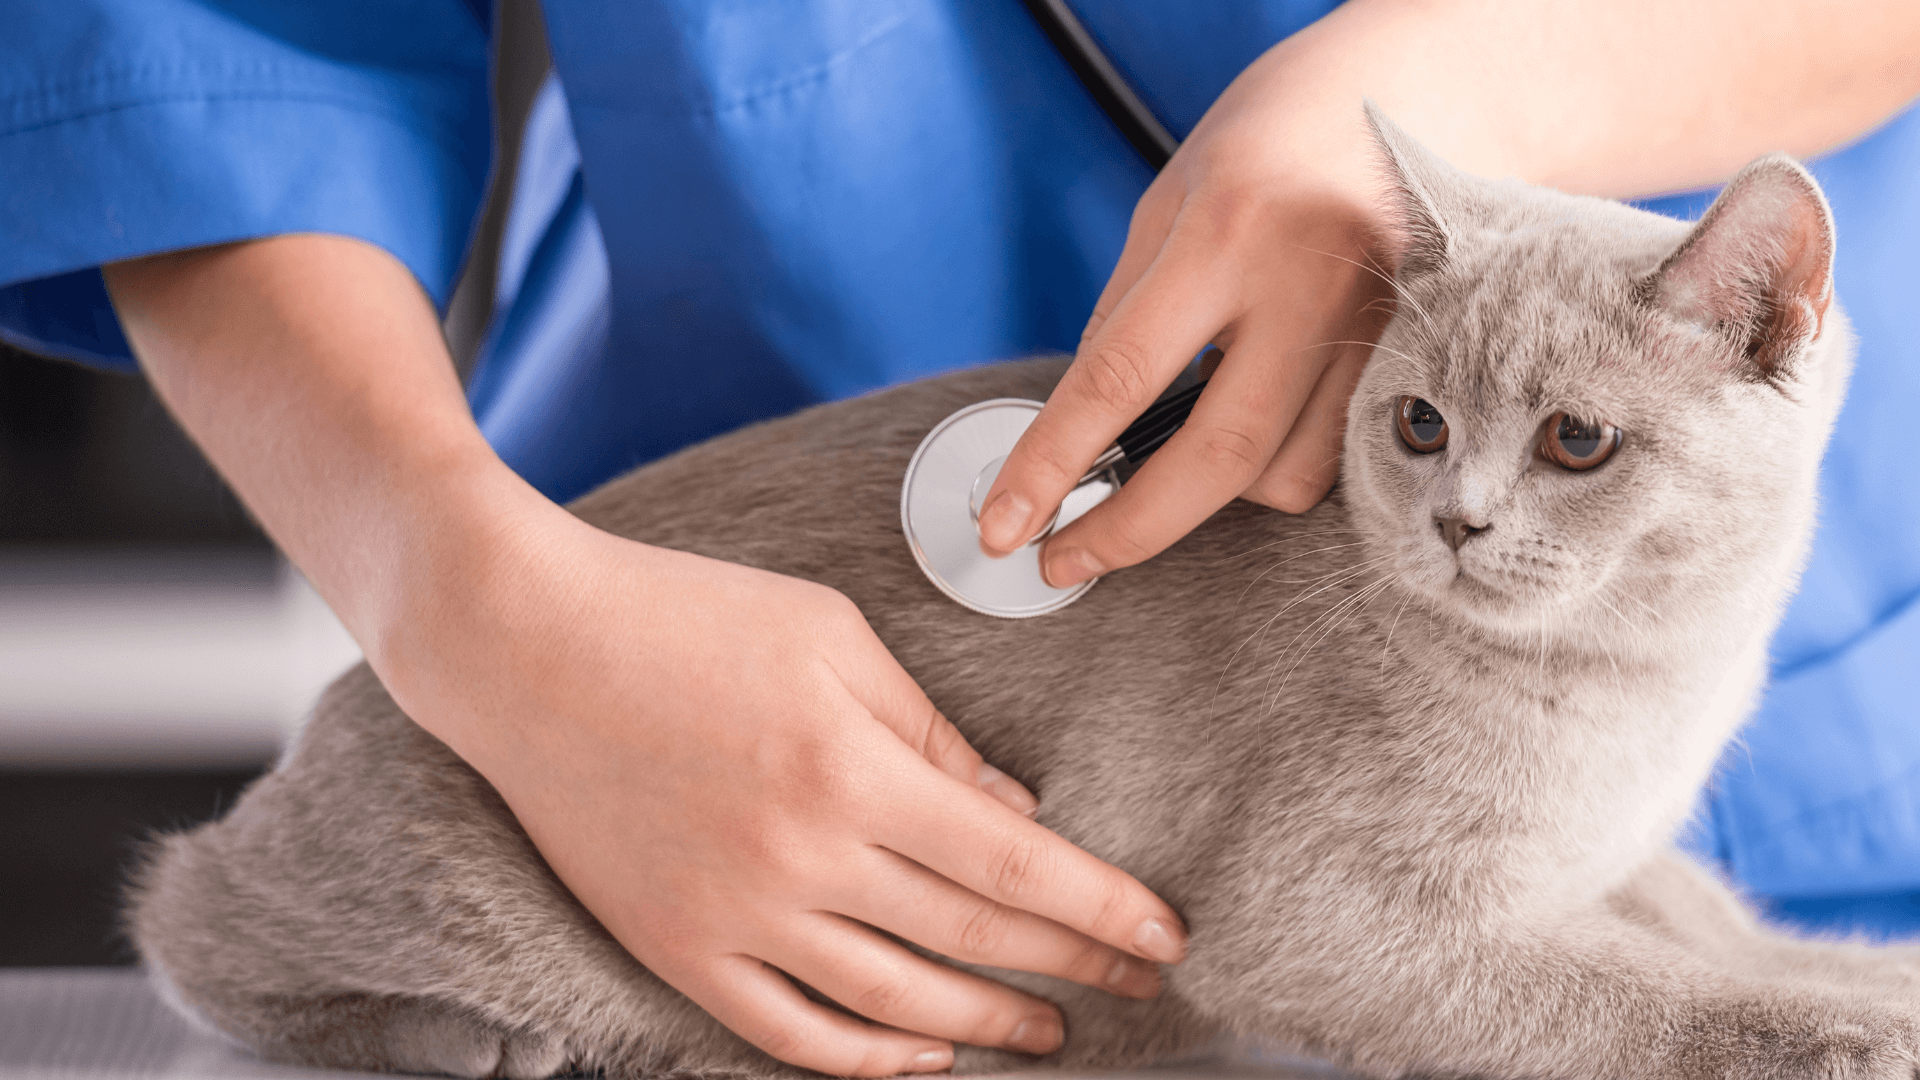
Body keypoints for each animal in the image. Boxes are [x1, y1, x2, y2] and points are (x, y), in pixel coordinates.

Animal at [131, 111, 1889, 1076]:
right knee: (186, 919)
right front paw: (1844, 1035)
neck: (1642, 686)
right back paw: (484, 1038)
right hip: (449, 877)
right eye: (1418, 425)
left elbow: (1711, 924)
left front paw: (1862, 975)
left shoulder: (1613, 860)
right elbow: (1621, 998)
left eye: (1576, 441)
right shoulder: (1324, 925)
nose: (1455, 522)